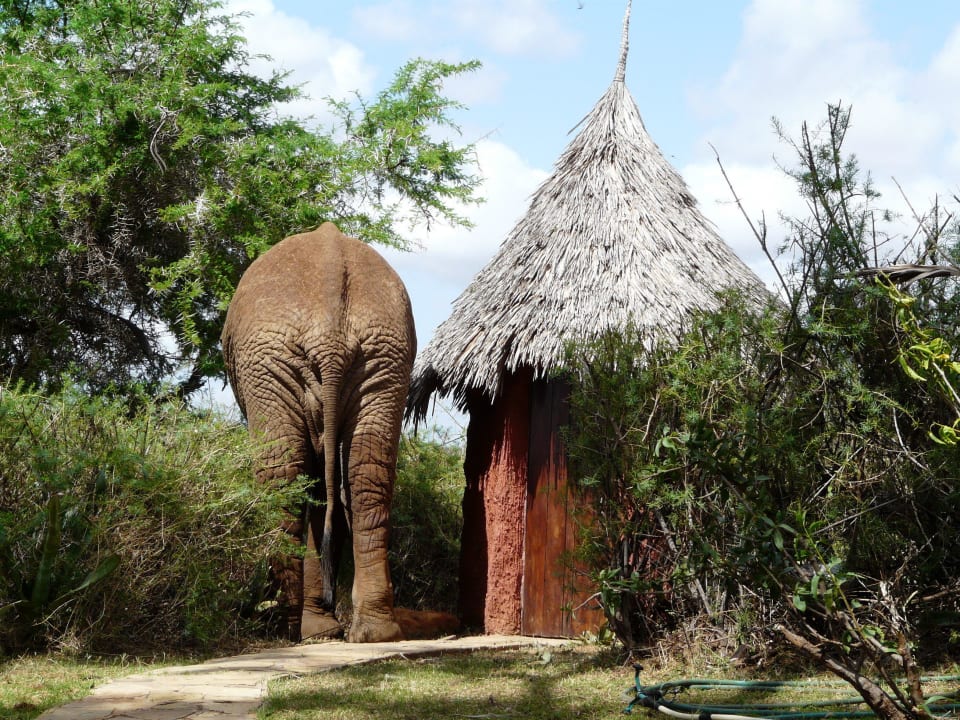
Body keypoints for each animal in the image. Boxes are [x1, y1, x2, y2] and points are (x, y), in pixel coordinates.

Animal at [221, 222, 415, 643]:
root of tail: (330, 332)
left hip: (268, 360)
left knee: (281, 477)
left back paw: (285, 627)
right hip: (386, 355)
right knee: (367, 472)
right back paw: (375, 632)